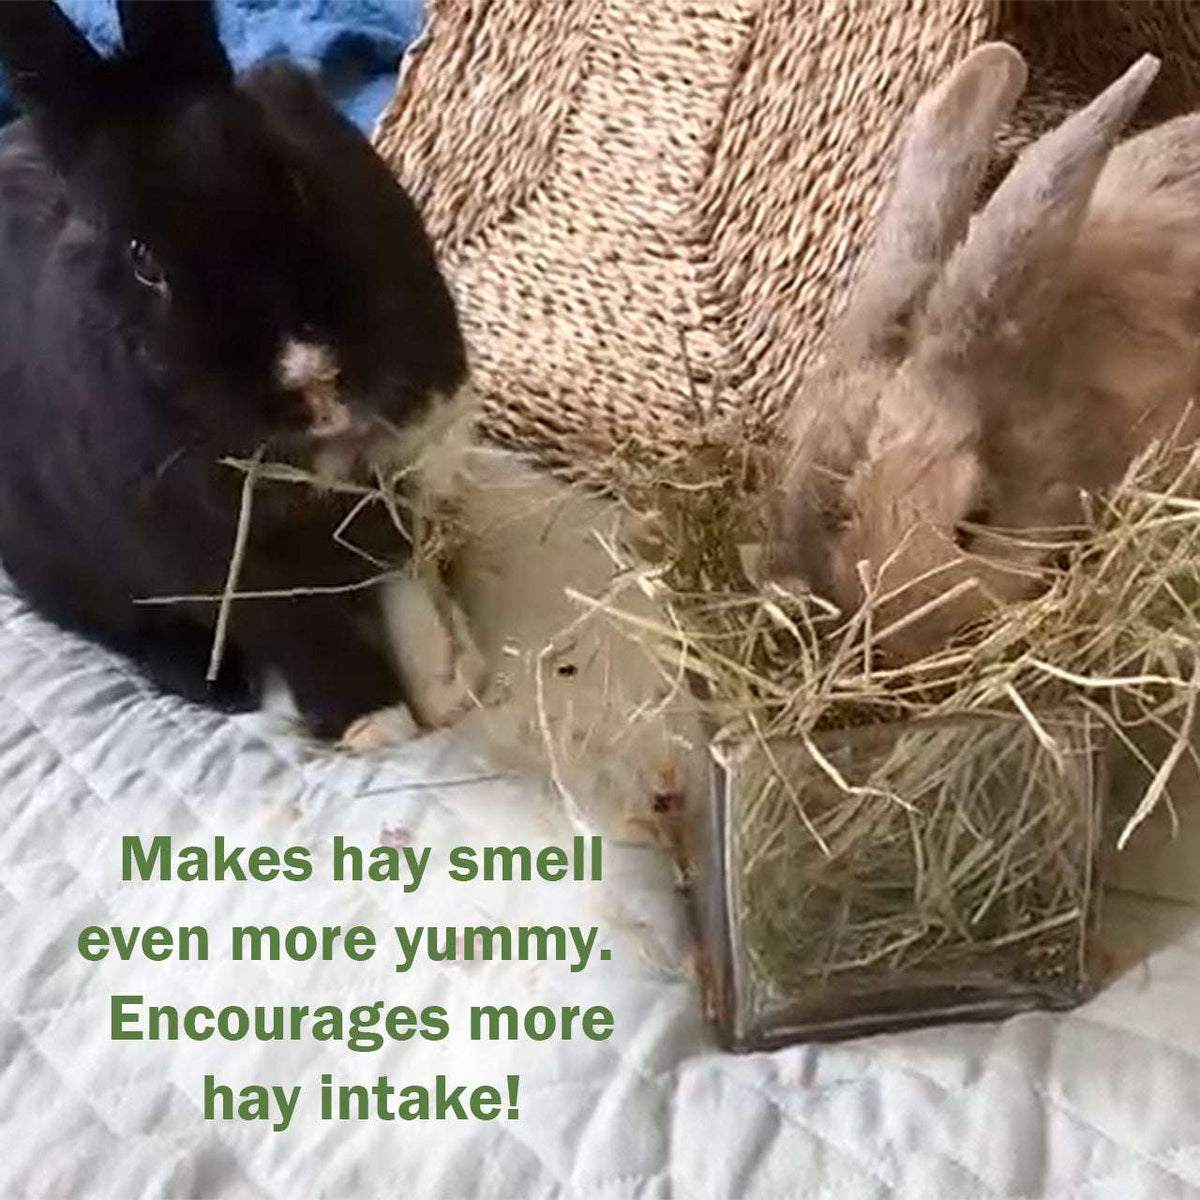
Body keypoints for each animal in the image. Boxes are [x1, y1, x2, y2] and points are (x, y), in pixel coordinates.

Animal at [0, 0, 484, 743]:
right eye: (143, 259)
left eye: (293, 177)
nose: (314, 379)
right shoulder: (211, 559)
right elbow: (299, 627)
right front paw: (375, 725)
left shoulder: (386, 475)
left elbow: (392, 574)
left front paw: (443, 684)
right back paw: (215, 683)